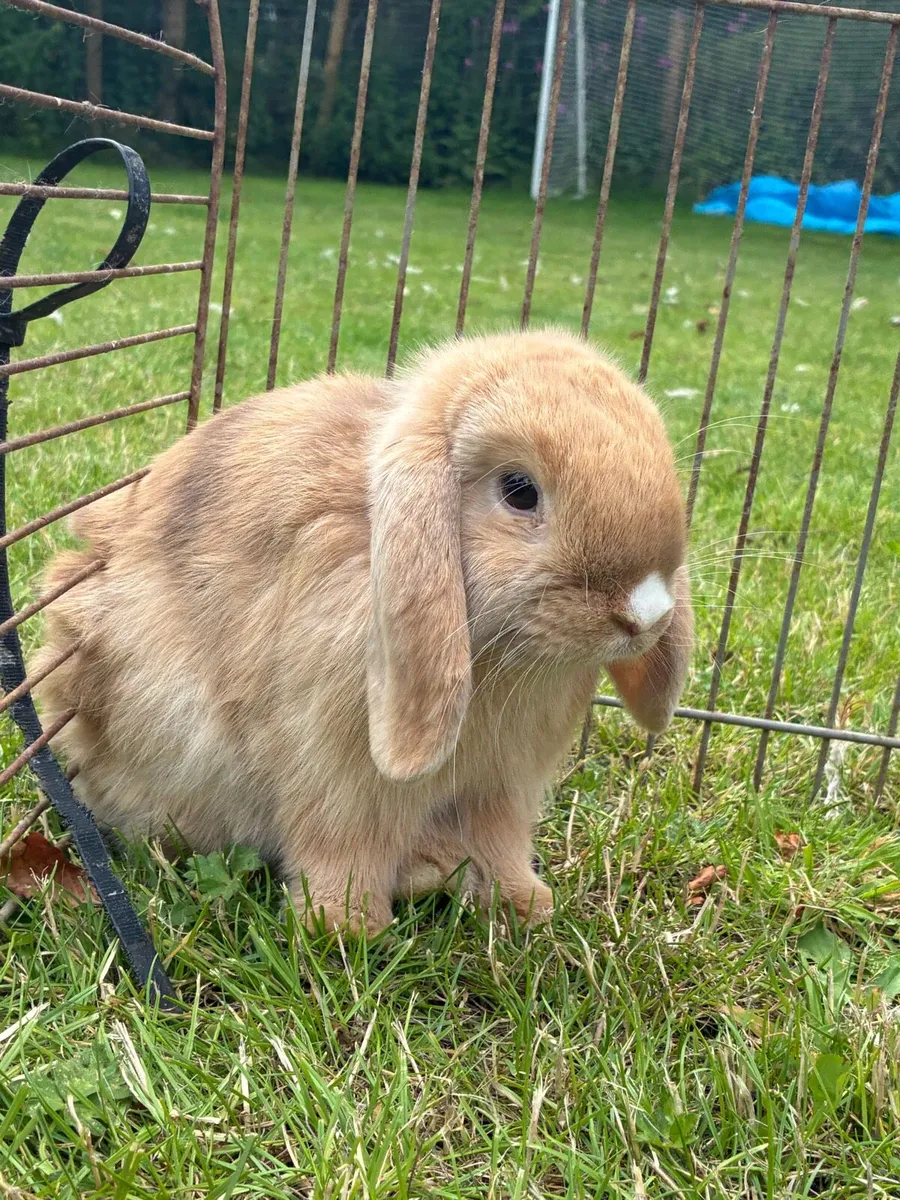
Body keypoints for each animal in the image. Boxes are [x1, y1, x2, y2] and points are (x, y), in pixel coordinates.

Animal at [34, 329, 693, 935]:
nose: (648, 614)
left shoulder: (500, 786)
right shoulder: (339, 779)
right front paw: (345, 929)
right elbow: (343, 850)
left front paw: (526, 907)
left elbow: (501, 845)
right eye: (519, 491)